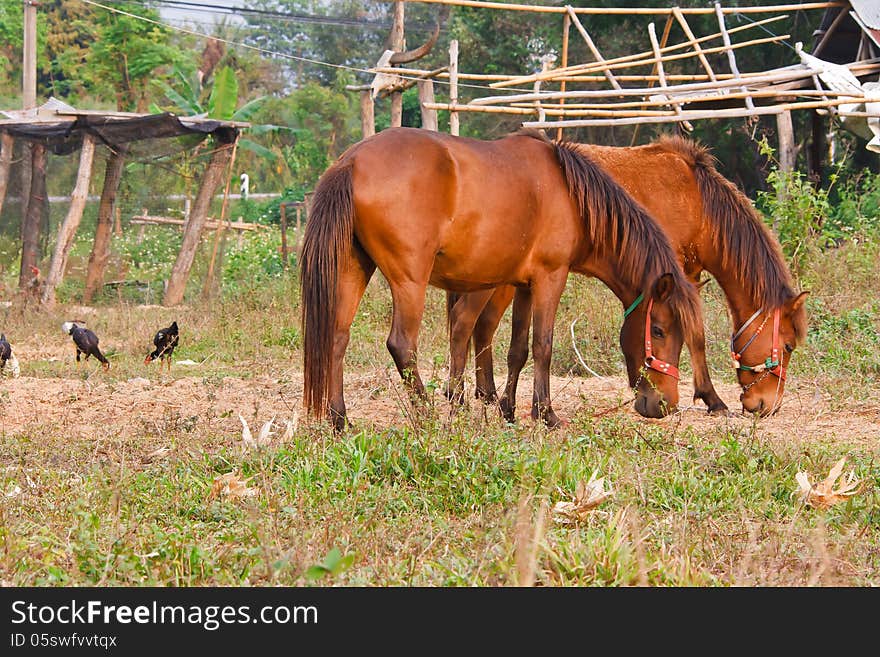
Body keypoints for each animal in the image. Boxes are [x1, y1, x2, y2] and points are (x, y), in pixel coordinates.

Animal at [300, 127, 700, 430]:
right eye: (659, 330)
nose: (665, 405)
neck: (569, 194)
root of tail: (352, 161)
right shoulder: (550, 278)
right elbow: (543, 346)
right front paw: (546, 414)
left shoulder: (524, 286)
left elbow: (517, 350)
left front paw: (508, 411)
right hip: (409, 280)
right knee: (402, 344)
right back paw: (427, 414)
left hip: (353, 268)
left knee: (337, 337)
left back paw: (340, 420)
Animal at [450, 136, 808, 418]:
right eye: (788, 346)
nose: (767, 406)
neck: (697, 202)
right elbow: (696, 336)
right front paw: (712, 399)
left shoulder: (686, 280)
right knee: (471, 323)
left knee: (479, 326)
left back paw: (484, 394)